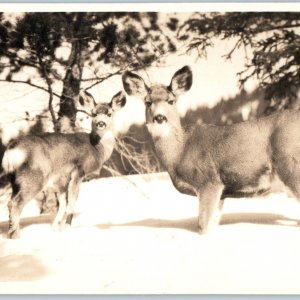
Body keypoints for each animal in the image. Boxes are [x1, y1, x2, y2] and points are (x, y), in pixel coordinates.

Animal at [1, 90, 125, 238]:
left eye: (109, 113)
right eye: (93, 113)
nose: (101, 123)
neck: (97, 149)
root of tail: (11, 150)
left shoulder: (60, 181)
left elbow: (62, 205)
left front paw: (56, 229)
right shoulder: (78, 170)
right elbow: (72, 202)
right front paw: (67, 227)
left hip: (15, 180)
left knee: (11, 202)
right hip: (33, 177)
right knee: (15, 203)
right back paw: (16, 237)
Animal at [123, 65, 300, 234]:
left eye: (171, 101)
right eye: (147, 102)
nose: (159, 118)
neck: (180, 151)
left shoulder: (208, 181)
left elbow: (203, 227)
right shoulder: (221, 192)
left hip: (291, 166)